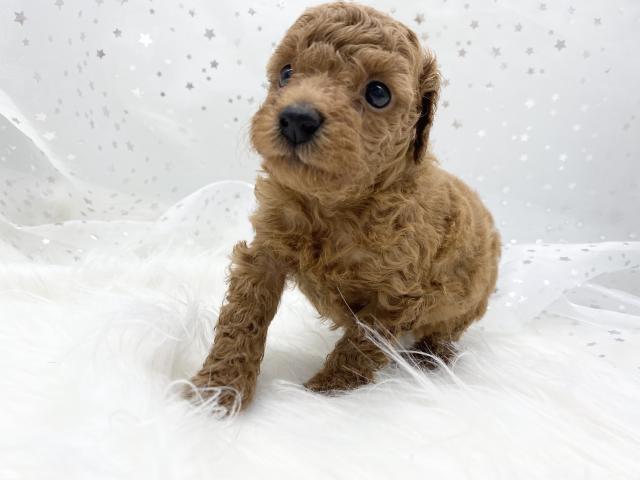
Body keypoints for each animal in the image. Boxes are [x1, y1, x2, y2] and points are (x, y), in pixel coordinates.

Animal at [188, 2, 501, 412]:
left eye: (378, 93)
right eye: (286, 72)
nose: (297, 118)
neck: (333, 205)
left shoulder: (395, 296)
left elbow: (359, 347)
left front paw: (328, 392)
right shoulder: (265, 252)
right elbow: (242, 320)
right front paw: (218, 389)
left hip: (470, 303)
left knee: (445, 329)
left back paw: (431, 357)